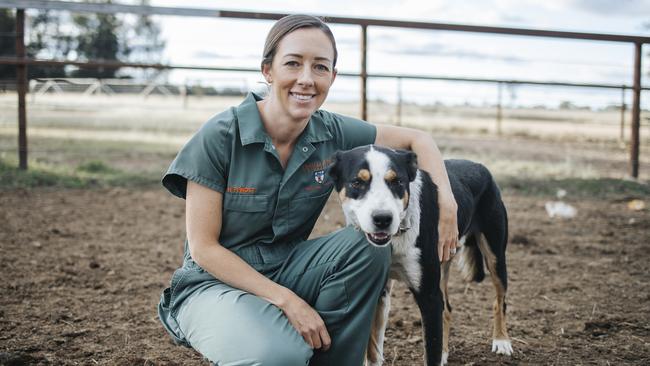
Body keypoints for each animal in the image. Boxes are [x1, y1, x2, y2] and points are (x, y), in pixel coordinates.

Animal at [330, 144, 512, 364]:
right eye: (357, 182)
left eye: (398, 182)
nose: (383, 219)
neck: (395, 238)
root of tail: (479, 165)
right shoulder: (378, 291)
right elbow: (372, 350)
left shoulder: (429, 296)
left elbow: (430, 350)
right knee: (447, 308)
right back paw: (445, 352)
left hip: (495, 255)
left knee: (499, 300)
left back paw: (501, 341)